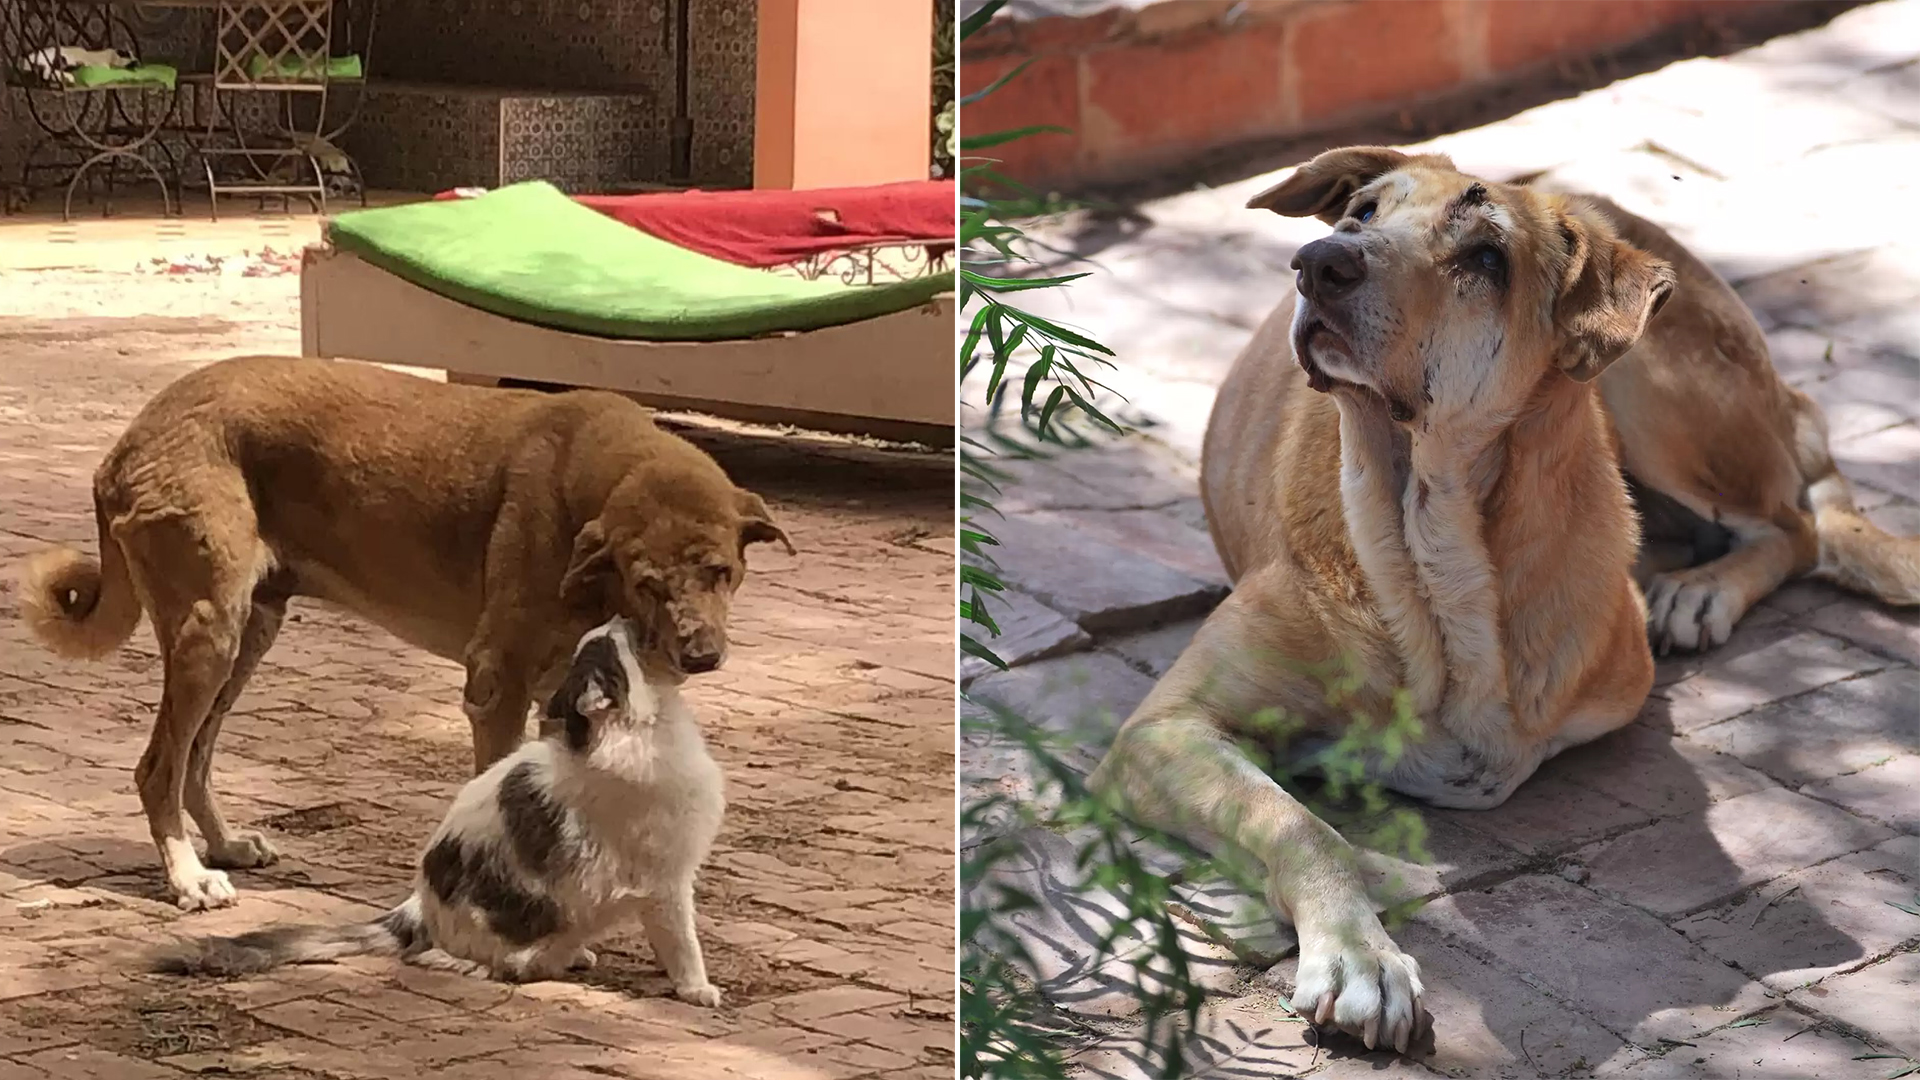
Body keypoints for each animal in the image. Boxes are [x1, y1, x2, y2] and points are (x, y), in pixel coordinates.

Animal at [22, 355, 787, 907]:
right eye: (648, 583)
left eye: (720, 571)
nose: (702, 654)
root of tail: (127, 442)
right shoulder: (497, 686)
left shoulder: (556, 699)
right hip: (207, 633)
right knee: (159, 767)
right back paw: (187, 878)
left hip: (247, 635)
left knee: (196, 760)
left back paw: (225, 845)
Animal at [1090, 147, 1920, 1045]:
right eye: (1361, 212)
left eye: (1487, 259)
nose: (1319, 262)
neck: (1422, 551)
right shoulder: (1165, 731)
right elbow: (1298, 823)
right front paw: (1357, 951)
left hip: (1657, 392)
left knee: (1794, 524)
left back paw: (1701, 591)